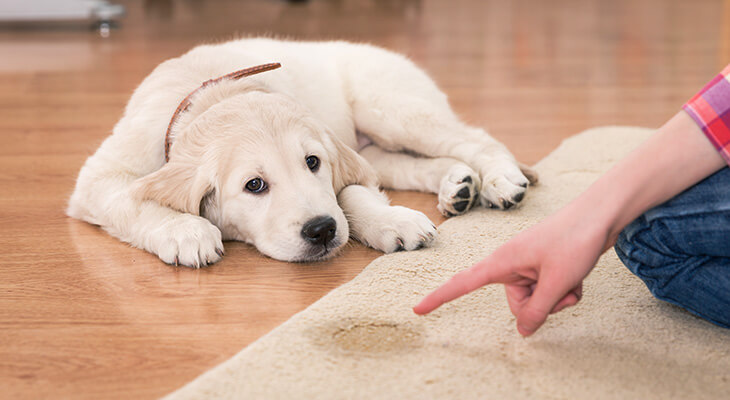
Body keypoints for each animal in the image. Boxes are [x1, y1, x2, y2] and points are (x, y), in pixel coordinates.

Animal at [68, 39, 536, 268]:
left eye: (313, 163)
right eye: (254, 185)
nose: (322, 230)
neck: (214, 94)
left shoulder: (339, 159)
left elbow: (351, 193)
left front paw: (391, 220)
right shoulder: (100, 177)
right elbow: (132, 200)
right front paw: (186, 232)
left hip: (390, 108)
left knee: (475, 138)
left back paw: (500, 180)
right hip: (377, 143)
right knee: (411, 164)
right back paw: (458, 185)